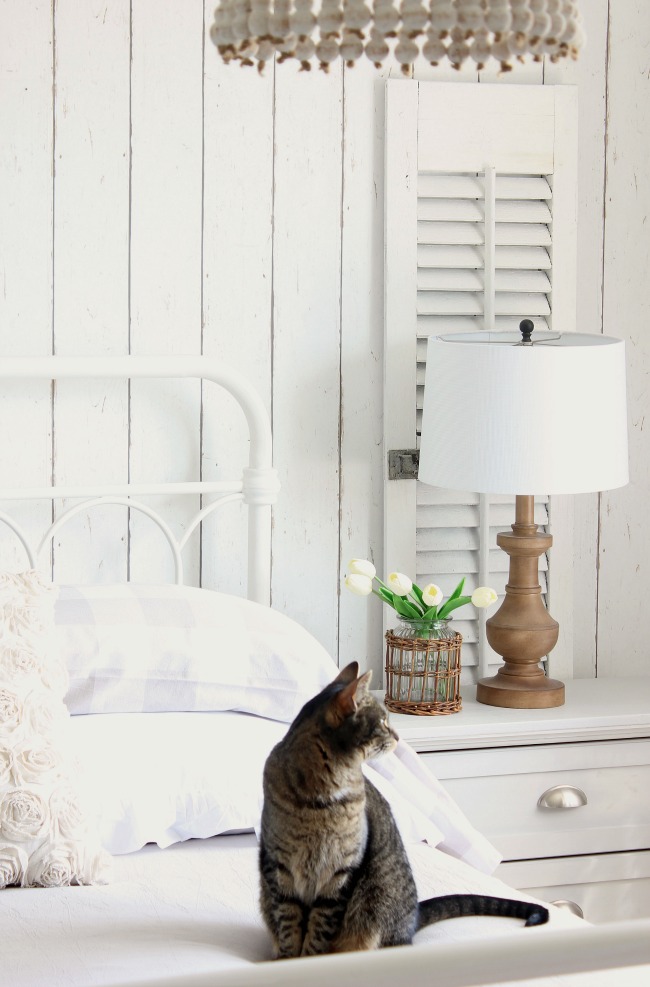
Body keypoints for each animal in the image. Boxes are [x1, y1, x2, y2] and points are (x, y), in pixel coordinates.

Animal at [258, 664, 548, 956]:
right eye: (383, 722)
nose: (398, 736)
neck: (319, 799)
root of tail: (413, 918)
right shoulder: (279, 867)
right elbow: (289, 927)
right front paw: (288, 959)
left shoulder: (341, 873)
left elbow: (318, 932)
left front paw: (310, 958)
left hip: (375, 904)